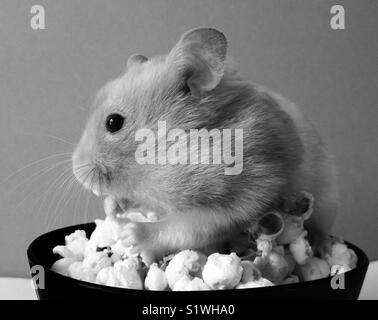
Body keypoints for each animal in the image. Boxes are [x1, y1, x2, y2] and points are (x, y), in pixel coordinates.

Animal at [72, 26, 338, 262]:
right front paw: (111, 207)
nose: (78, 174)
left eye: (113, 122)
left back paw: (325, 251)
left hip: (325, 200)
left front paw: (129, 232)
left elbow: (183, 227)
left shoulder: (243, 195)